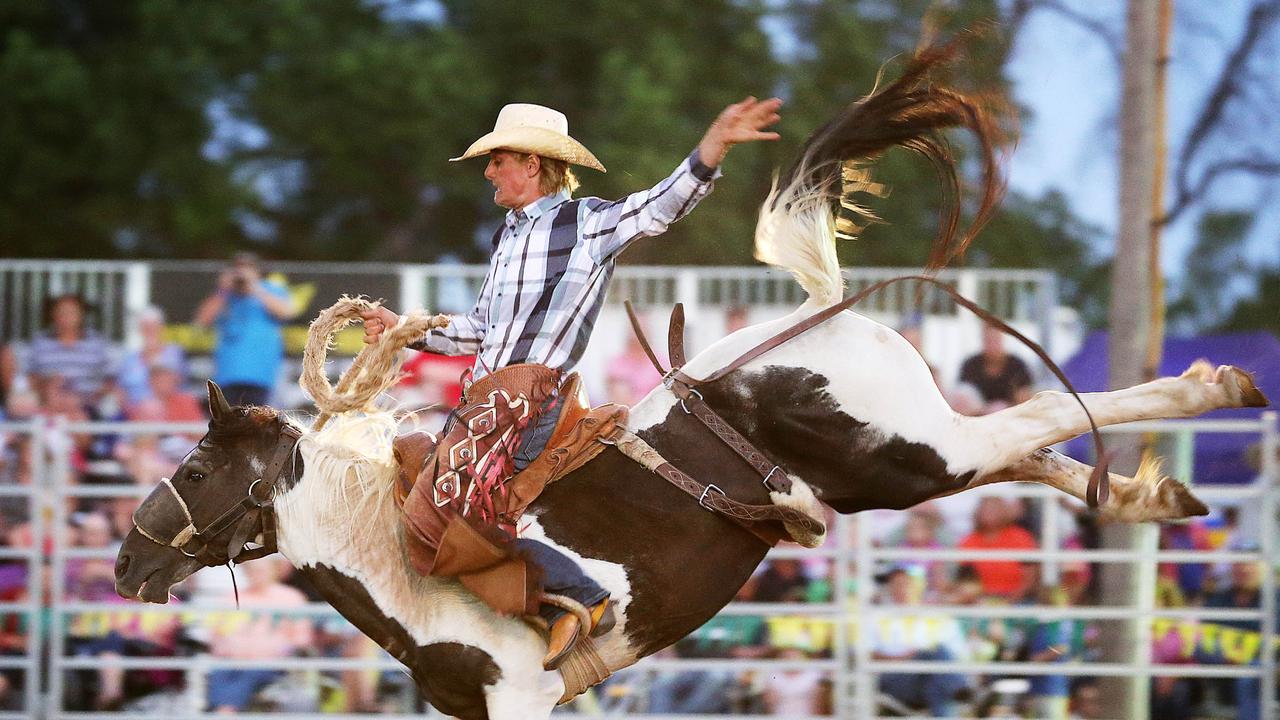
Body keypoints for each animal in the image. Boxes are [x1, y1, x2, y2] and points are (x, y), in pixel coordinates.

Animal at [112, 40, 1269, 717]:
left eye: (197, 470)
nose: (125, 564)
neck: (391, 558)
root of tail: (811, 313)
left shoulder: (522, 698)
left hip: (910, 452)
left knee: (1033, 414)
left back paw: (1213, 390)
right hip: (898, 469)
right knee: (1030, 449)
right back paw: (1153, 489)